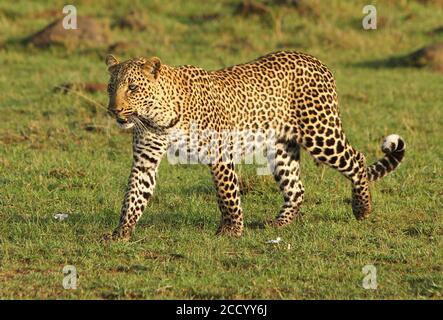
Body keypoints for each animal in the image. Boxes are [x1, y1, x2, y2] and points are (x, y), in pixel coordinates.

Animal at [102, 50, 408, 241]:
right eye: (110, 87)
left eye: (132, 88)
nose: (113, 110)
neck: (158, 115)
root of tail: (318, 62)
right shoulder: (145, 159)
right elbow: (134, 195)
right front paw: (121, 233)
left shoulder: (220, 153)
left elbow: (227, 195)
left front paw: (232, 230)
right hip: (282, 147)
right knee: (296, 187)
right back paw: (279, 222)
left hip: (321, 133)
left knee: (357, 160)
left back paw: (362, 208)